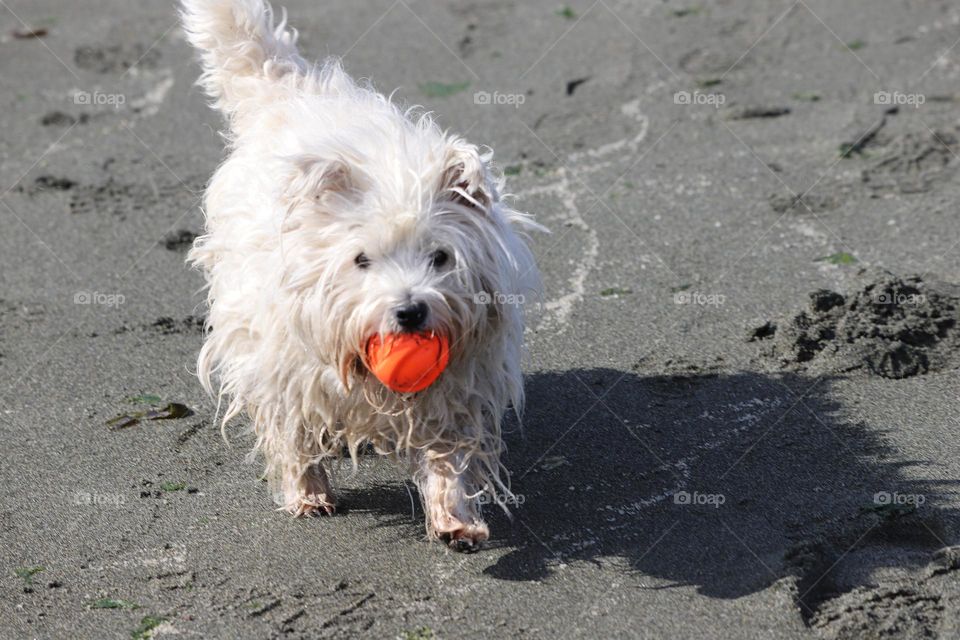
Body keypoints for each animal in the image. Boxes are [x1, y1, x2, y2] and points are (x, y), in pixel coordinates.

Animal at [178, 0, 540, 552]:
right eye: (361, 260)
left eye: (440, 257)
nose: (410, 312)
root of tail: (289, 90)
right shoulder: (280, 364)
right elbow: (290, 433)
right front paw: (307, 492)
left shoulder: (458, 382)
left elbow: (448, 458)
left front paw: (454, 518)